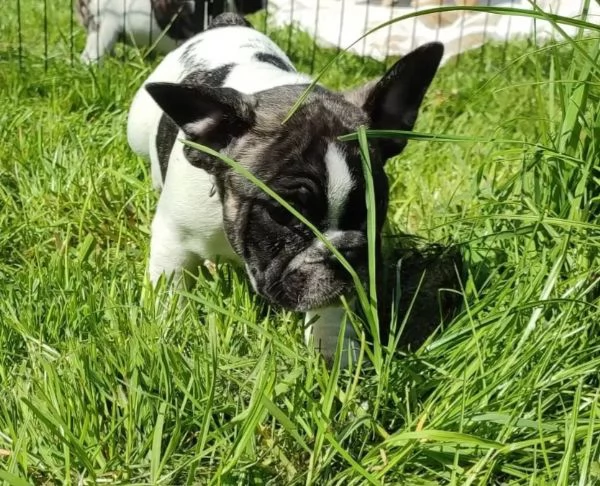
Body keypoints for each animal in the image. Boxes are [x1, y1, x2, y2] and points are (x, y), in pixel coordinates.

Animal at [127, 13, 446, 364]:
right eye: (282, 214)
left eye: (375, 206)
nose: (347, 251)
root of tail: (226, 22)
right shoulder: (174, 237)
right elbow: (170, 288)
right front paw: (167, 330)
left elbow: (329, 306)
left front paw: (331, 352)